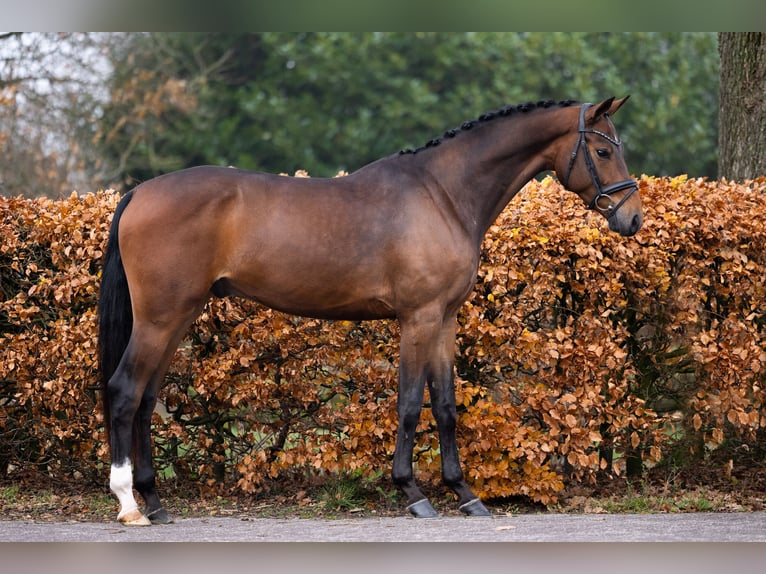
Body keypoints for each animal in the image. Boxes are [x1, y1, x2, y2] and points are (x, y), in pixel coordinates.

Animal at [98, 96, 642, 525]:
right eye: (602, 150)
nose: (632, 219)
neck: (443, 194)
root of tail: (139, 191)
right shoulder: (418, 318)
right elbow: (409, 405)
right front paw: (414, 493)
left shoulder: (445, 320)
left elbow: (445, 407)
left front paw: (465, 495)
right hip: (159, 319)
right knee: (124, 391)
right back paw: (130, 505)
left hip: (177, 318)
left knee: (146, 399)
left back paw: (157, 502)